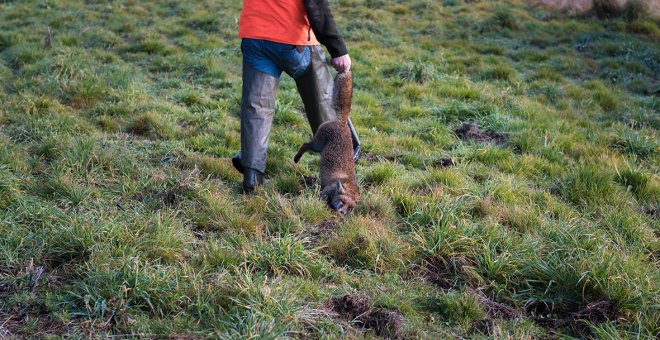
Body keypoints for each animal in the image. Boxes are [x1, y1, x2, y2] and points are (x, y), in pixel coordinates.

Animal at [296, 71, 360, 215]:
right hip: (317, 145)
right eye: (342, 202)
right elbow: (323, 201)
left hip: (319, 148)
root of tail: (342, 122)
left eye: (350, 208)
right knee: (305, 145)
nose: (342, 213)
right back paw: (296, 159)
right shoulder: (323, 193)